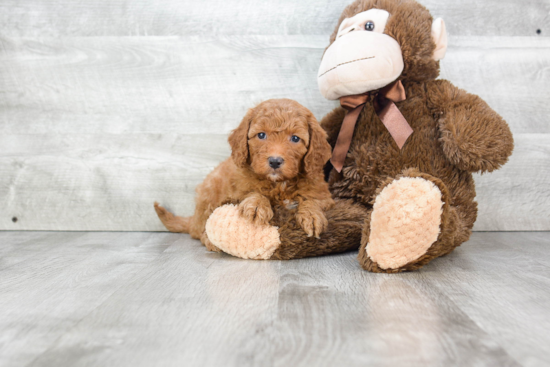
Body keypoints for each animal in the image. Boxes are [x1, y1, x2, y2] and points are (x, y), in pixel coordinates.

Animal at [155, 98, 336, 253]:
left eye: (295, 138)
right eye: (261, 135)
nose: (275, 161)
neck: (279, 184)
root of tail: (193, 218)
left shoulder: (322, 193)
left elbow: (312, 200)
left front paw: (312, 215)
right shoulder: (237, 190)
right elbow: (252, 192)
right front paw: (257, 205)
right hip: (209, 194)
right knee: (201, 229)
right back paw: (210, 241)